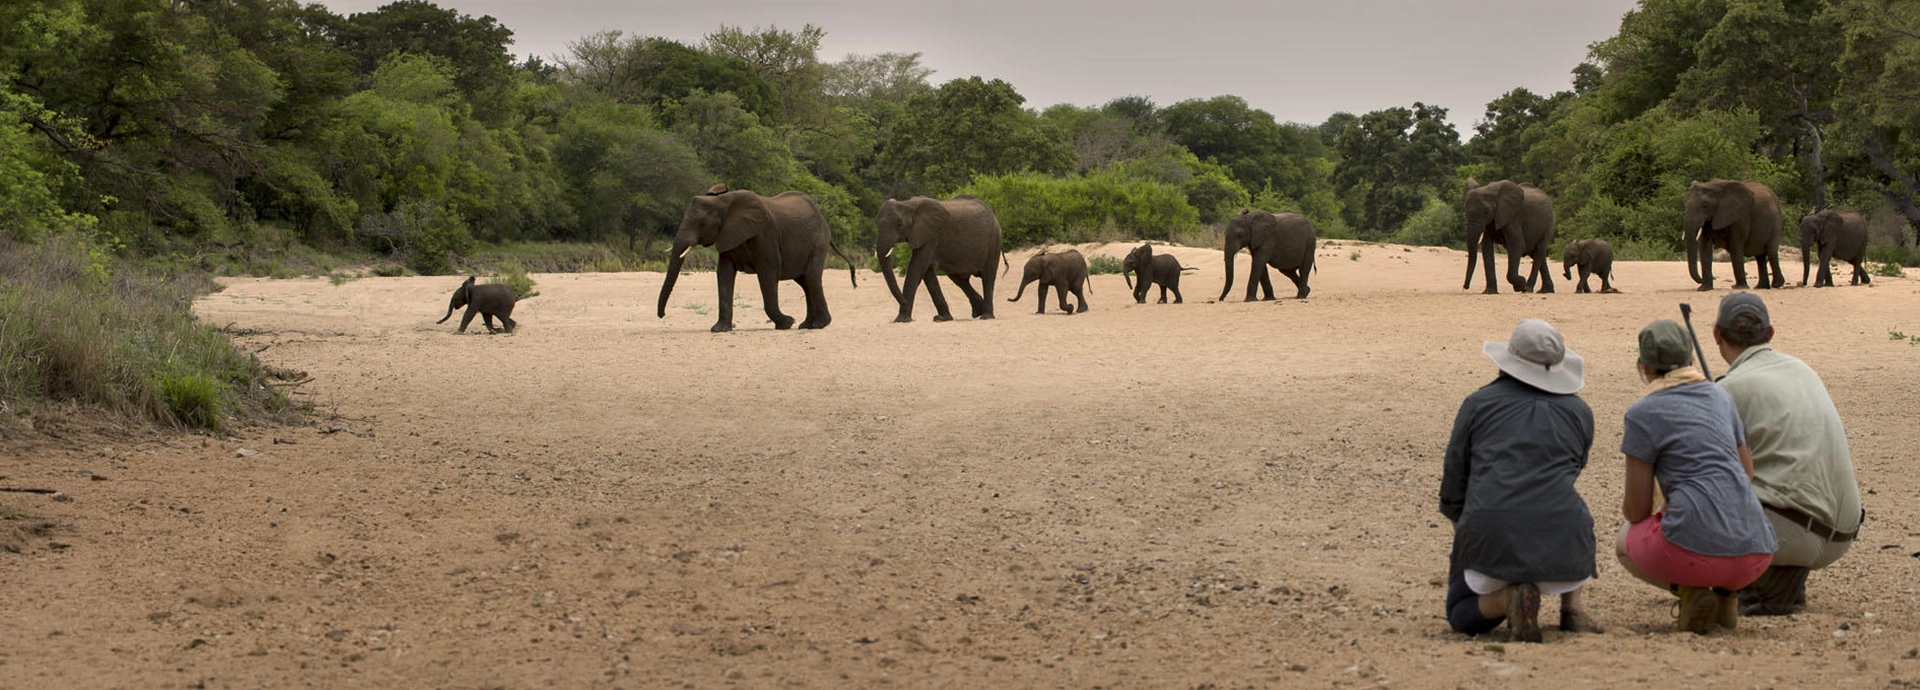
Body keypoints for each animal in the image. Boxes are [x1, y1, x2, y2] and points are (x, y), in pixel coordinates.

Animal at [656, 188, 856, 332]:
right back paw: (806, 325)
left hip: (819, 240)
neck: (724, 202)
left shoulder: (765, 235)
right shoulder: (728, 236)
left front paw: (786, 323)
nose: (662, 315)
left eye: (701, 224)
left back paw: (819, 325)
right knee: (805, 282)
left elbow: (768, 274)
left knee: (812, 278)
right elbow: (724, 275)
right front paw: (719, 329)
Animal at [874, 196, 1007, 322]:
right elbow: (927, 275)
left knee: (988, 278)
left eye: (899, 225)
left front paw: (901, 320)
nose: (904, 301)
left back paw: (986, 316)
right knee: (959, 280)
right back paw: (978, 311)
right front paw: (942, 318)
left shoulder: (931, 236)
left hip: (994, 241)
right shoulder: (924, 236)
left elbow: (916, 268)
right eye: (877, 224)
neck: (908, 204)